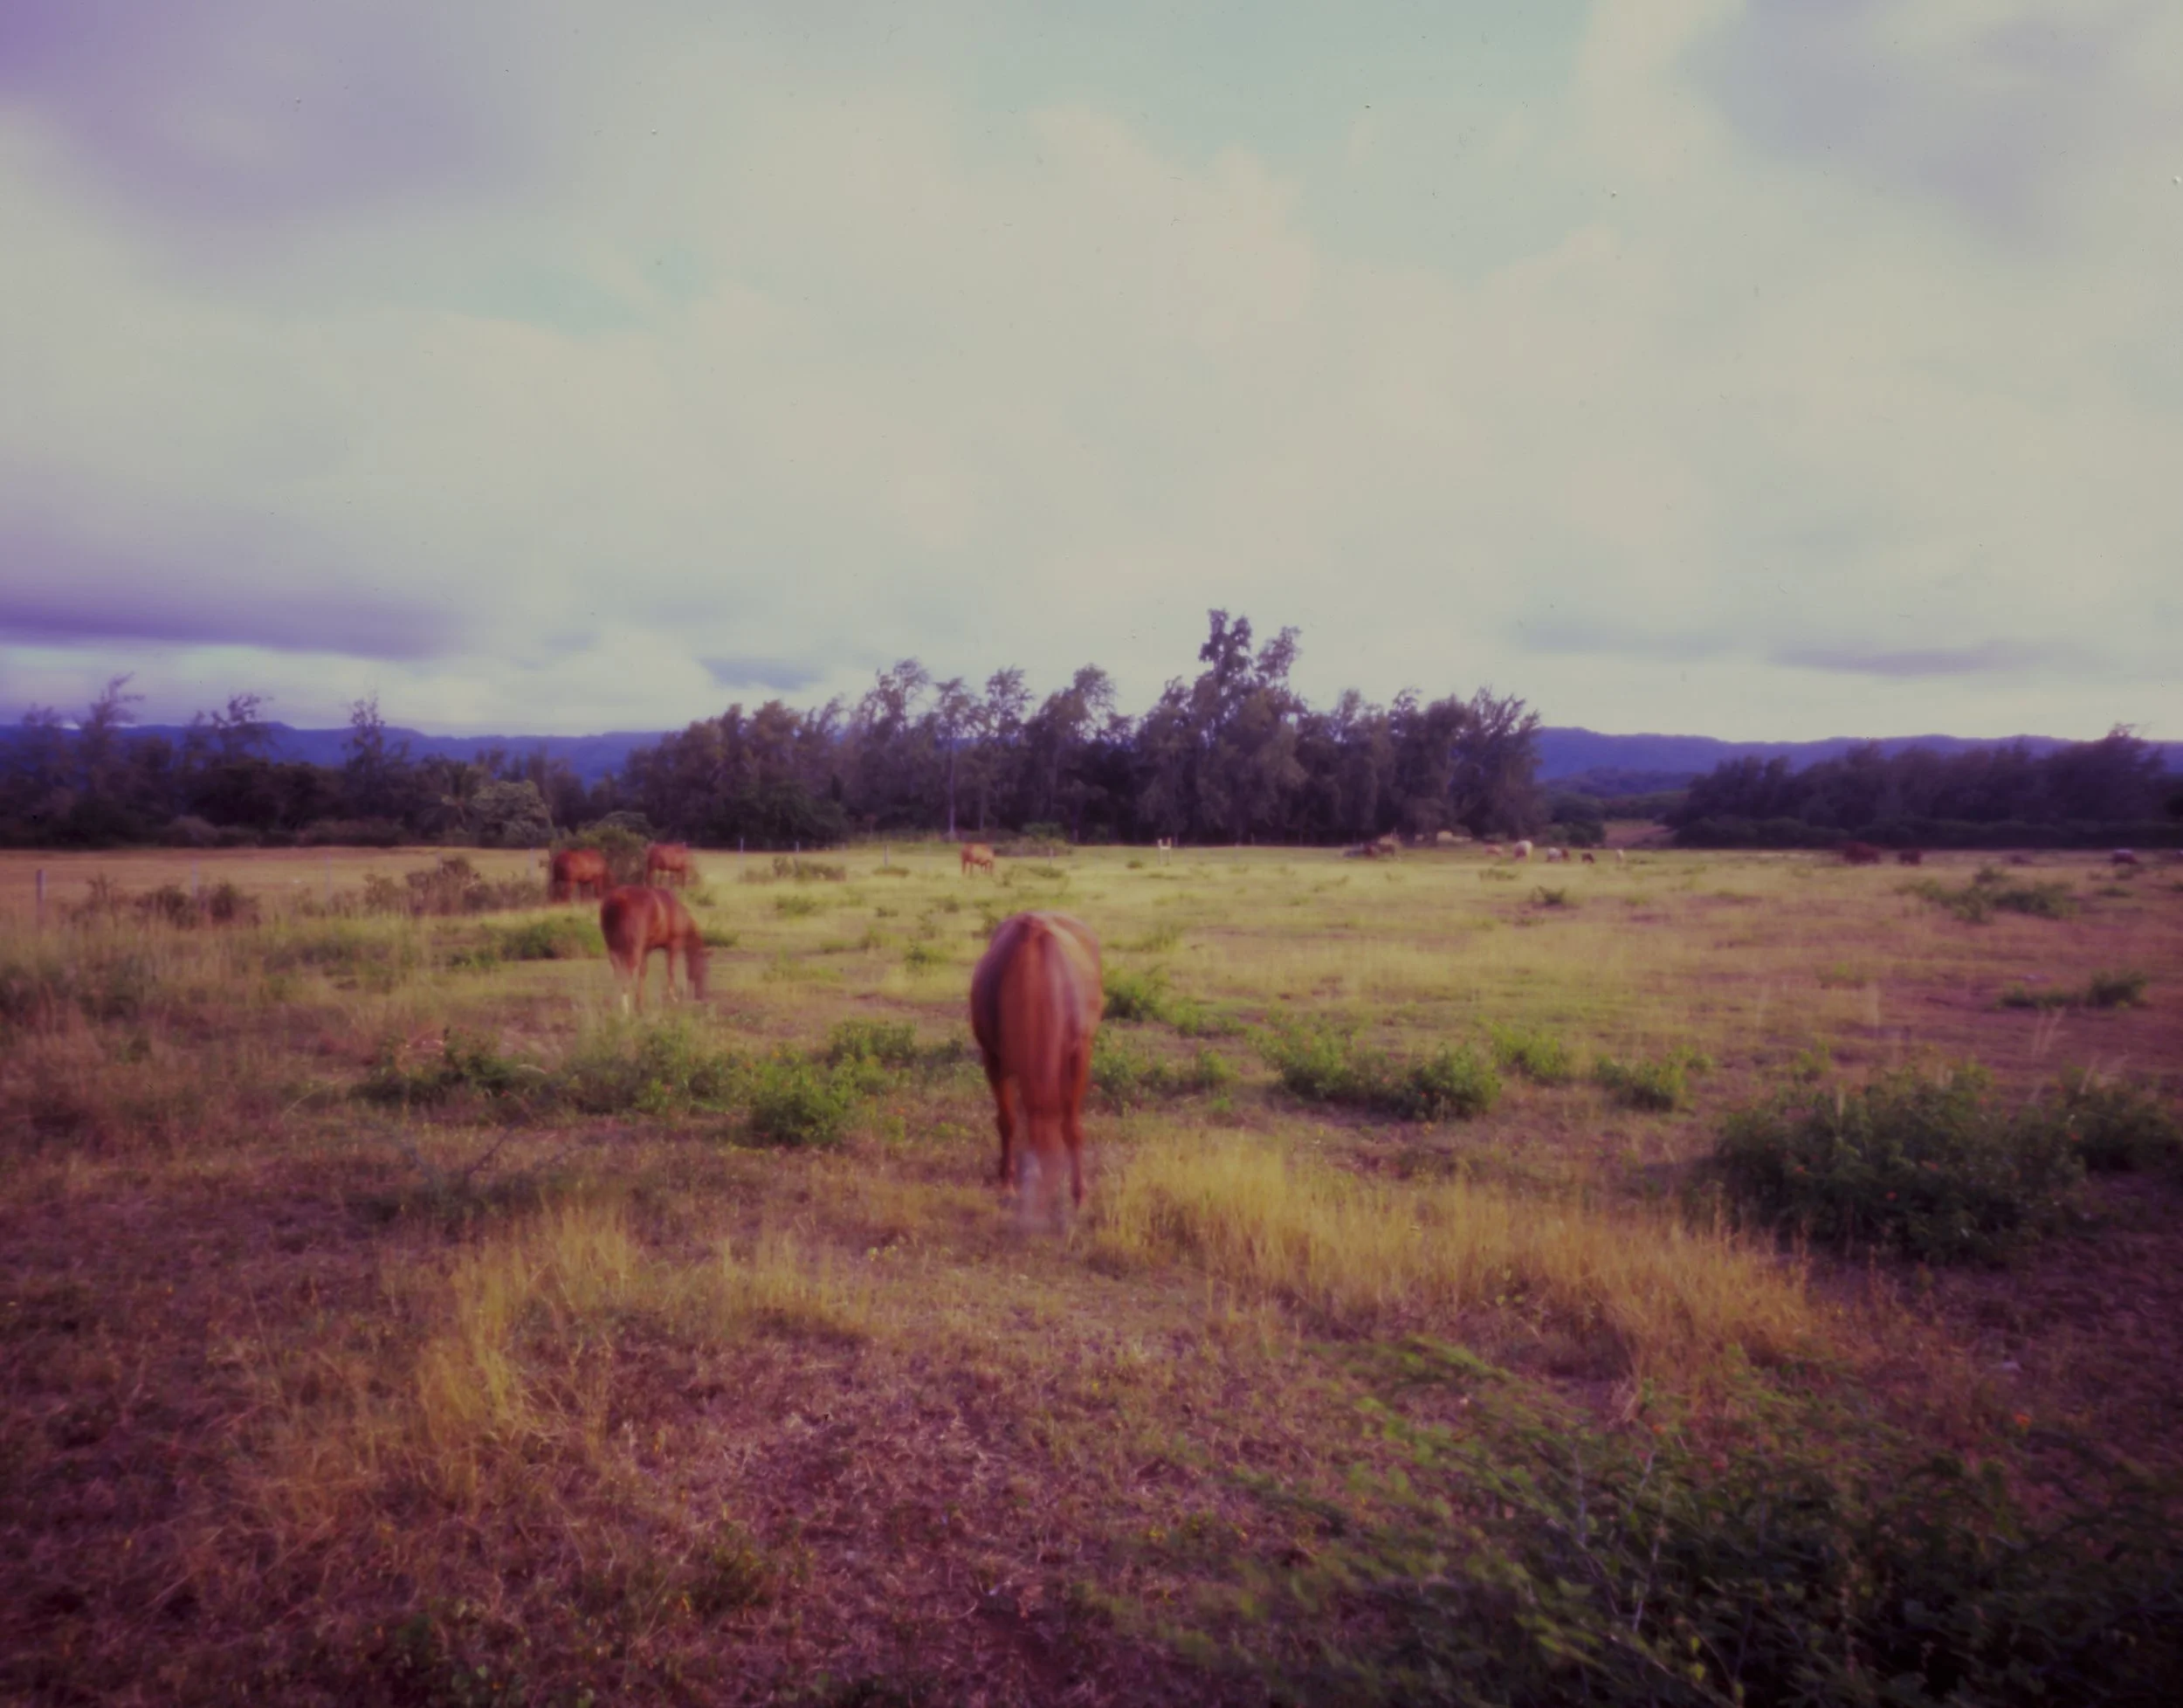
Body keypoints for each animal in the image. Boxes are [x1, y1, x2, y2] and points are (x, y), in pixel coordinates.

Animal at [599, 885, 708, 1013]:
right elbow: (670, 970)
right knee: (627, 972)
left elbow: (643, 972)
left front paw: (639, 1003)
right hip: (632, 950)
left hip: (614, 948)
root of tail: (618, 900)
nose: (701, 996)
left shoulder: (646, 949)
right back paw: (625, 1009)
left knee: (618, 971)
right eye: (704, 969)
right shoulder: (674, 945)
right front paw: (673, 998)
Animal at [969, 911, 1103, 1222]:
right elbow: (1007, 1121)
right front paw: (1006, 1184)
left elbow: (1072, 1129)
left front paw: (1080, 1198)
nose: (1035, 1220)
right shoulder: (994, 1059)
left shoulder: (1078, 1057)